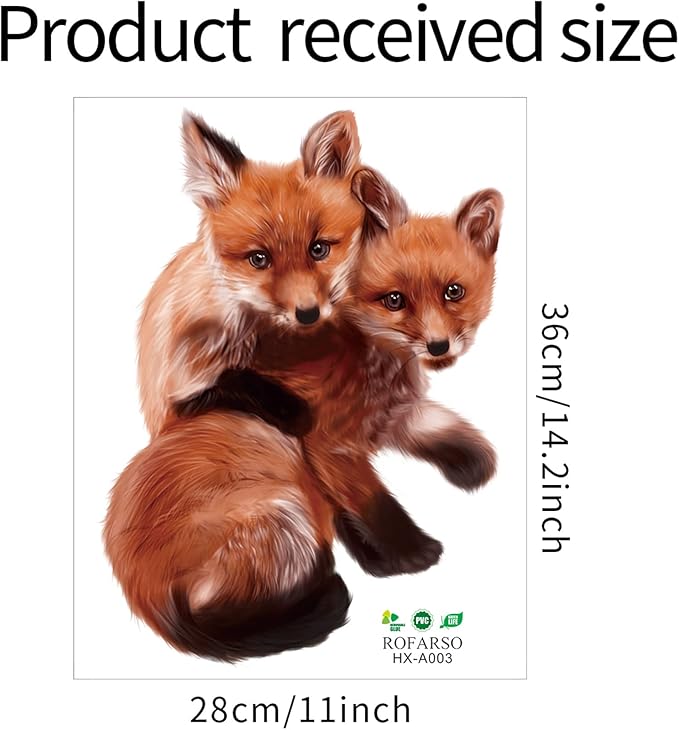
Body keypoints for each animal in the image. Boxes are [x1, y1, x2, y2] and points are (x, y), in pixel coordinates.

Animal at [104, 110, 502, 661]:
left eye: (454, 293)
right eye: (395, 300)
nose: (439, 346)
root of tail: (149, 605)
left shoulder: (391, 415)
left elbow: (444, 428)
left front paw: (472, 463)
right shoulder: (329, 445)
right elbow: (376, 502)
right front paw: (411, 552)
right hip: (283, 514)